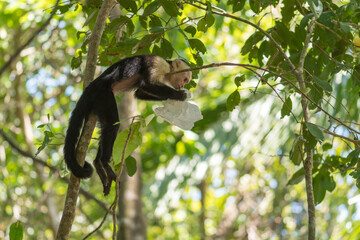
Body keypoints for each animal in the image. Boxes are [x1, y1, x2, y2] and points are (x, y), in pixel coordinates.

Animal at [64, 54, 194, 195]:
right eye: (185, 79)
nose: (182, 85)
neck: (168, 68)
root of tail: (93, 85)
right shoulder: (159, 64)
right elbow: (146, 85)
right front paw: (179, 95)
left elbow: (140, 92)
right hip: (103, 93)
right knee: (112, 124)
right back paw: (104, 162)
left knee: (106, 128)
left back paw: (98, 163)